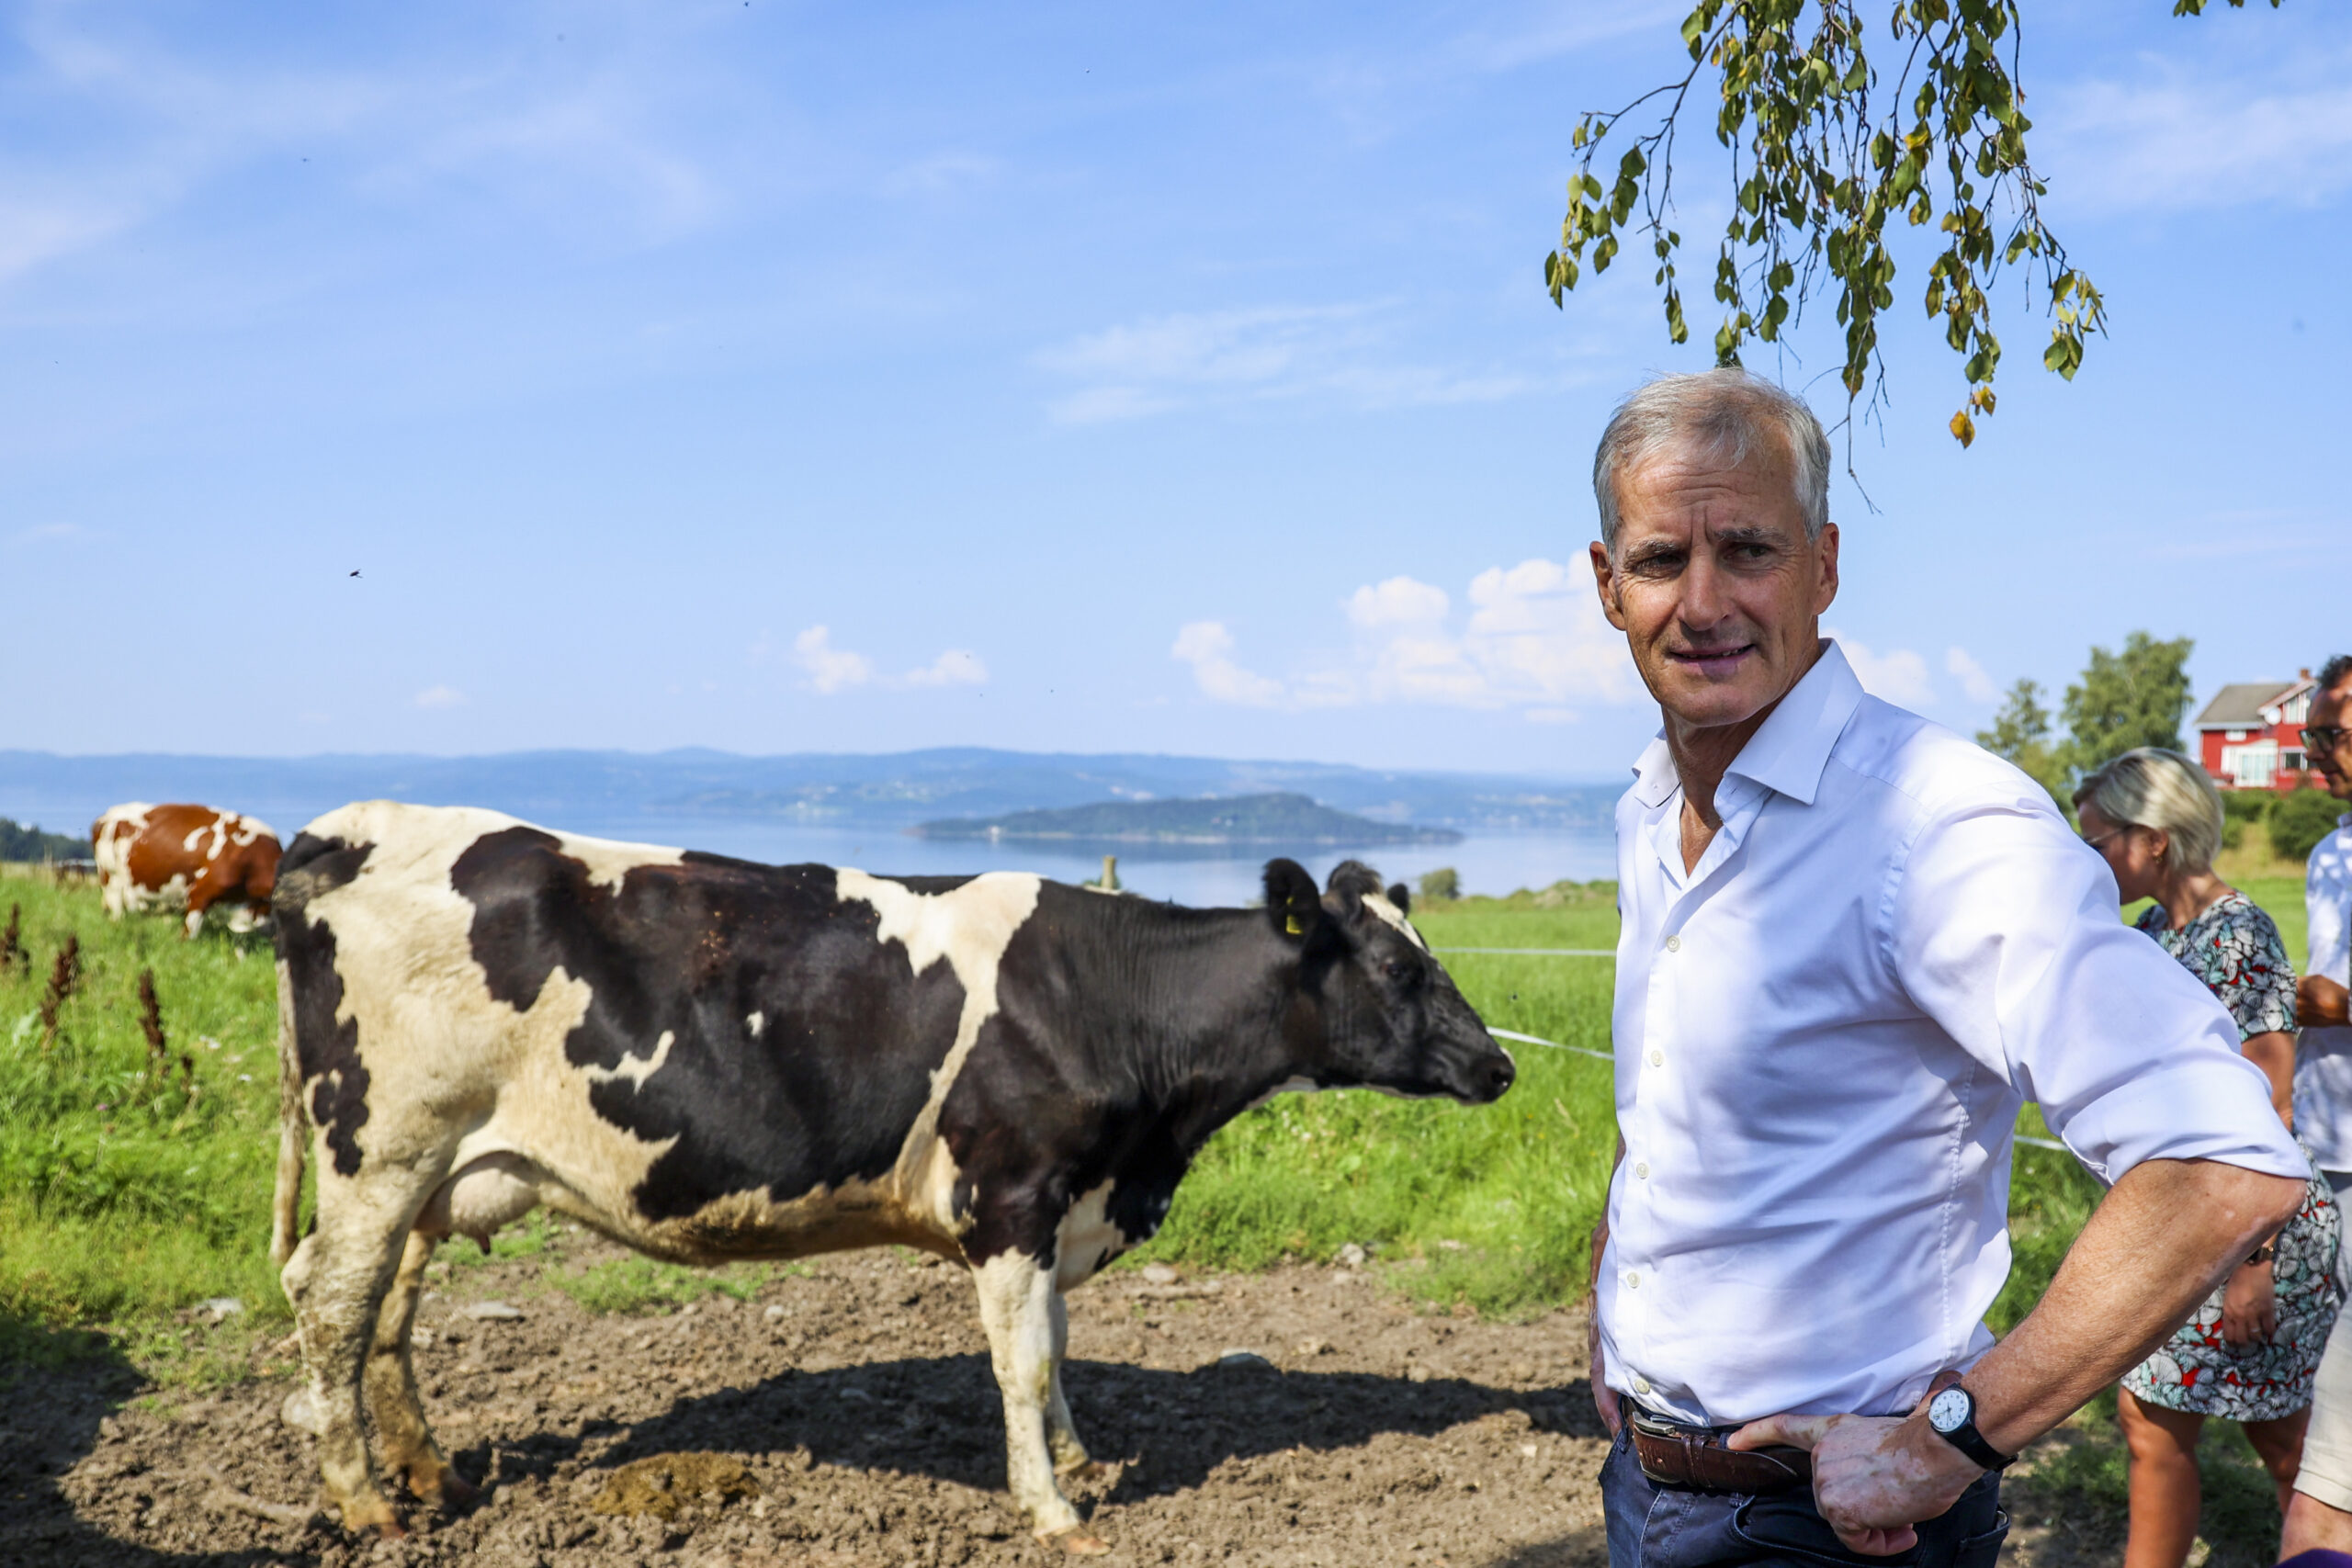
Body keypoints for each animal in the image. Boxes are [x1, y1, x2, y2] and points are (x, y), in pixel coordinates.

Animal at [268, 801, 1513, 1550]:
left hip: (431, 1167)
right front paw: (1052, 1506)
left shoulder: (1063, 1203)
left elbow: (1057, 1347)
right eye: (1399, 967)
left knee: (388, 1313)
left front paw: (1076, 1453)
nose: (1499, 1065)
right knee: (331, 1302)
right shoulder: (1012, 1195)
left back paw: (433, 1476)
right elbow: (1021, 1358)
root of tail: (350, 828)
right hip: (378, 1146)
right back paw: (364, 1500)